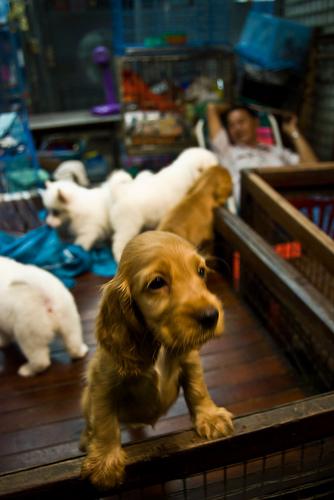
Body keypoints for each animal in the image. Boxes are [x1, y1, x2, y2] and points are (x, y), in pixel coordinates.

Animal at [80, 230, 232, 488]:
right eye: (157, 283)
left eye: (201, 271)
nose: (211, 316)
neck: (159, 343)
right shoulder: (102, 382)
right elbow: (104, 419)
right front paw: (105, 462)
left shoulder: (190, 360)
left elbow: (197, 388)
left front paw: (211, 418)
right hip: (85, 398)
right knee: (90, 421)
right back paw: (86, 439)